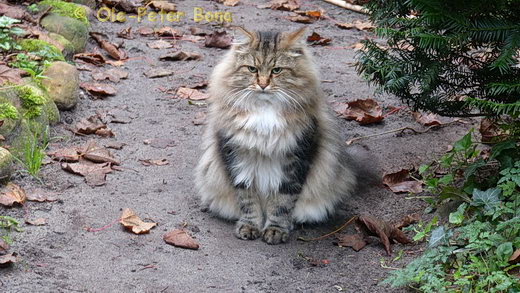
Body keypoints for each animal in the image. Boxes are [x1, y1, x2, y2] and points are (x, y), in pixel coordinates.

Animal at [197, 26, 364, 244]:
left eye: (277, 70)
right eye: (252, 69)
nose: (263, 84)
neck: (264, 114)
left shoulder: (296, 158)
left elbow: (282, 203)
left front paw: (275, 230)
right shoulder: (236, 157)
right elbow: (247, 200)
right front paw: (249, 227)